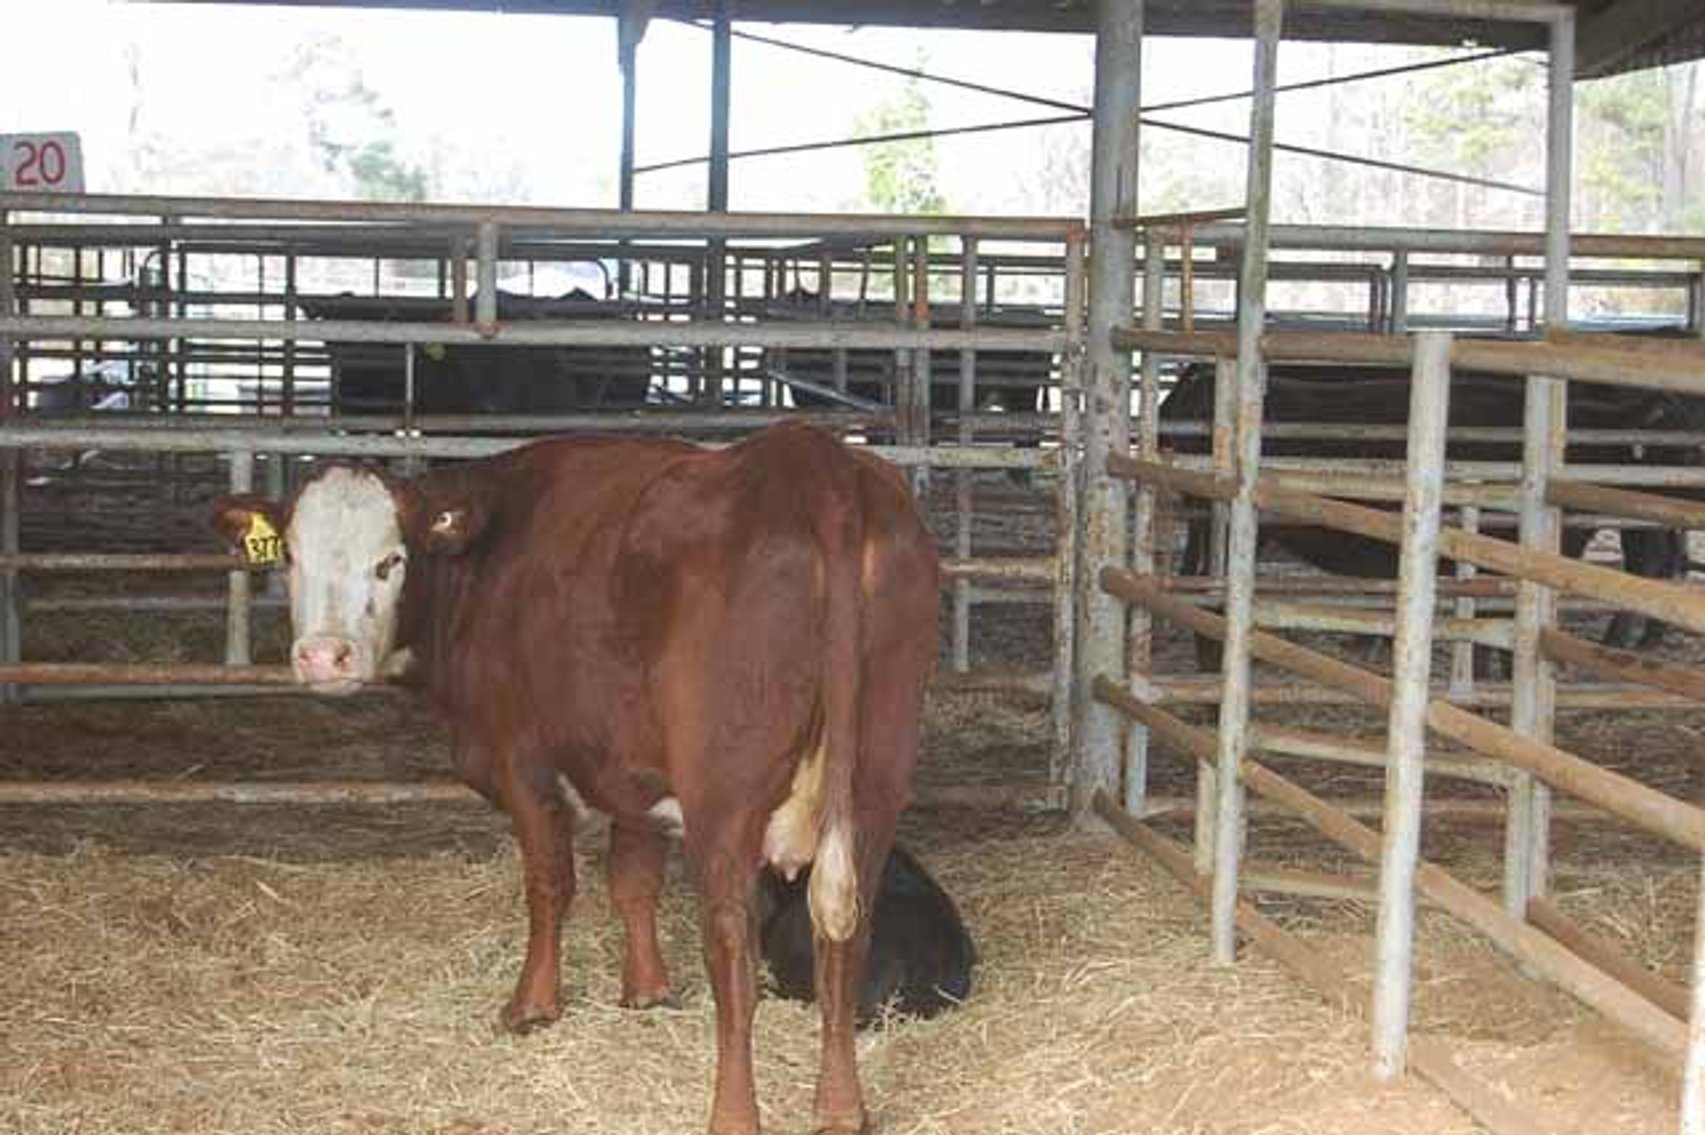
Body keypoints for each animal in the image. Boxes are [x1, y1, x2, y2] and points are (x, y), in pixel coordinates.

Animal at [211, 421, 939, 1135]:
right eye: (291, 557)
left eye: (390, 560)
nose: (323, 656)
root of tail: (813, 462)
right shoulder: (631, 769)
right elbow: (633, 880)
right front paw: (646, 989)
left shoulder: (522, 761)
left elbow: (550, 884)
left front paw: (532, 1005)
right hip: (875, 776)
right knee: (844, 928)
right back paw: (841, 1108)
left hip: (725, 797)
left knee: (733, 945)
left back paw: (733, 1114)